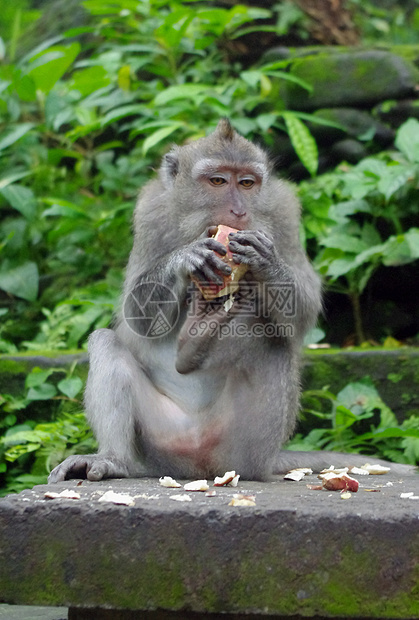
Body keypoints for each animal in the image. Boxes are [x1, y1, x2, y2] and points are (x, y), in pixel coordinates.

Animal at [47, 118, 412, 482]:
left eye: (247, 183)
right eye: (218, 181)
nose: (238, 210)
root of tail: (200, 465)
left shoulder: (284, 211)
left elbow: (302, 310)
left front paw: (266, 261)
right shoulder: (150, 212)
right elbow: (137, 316)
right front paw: (185, 258)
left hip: (244, 446)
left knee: (273, 341)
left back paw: (197, 343)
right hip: (160, 443)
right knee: (106, 342)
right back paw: (115, 458)